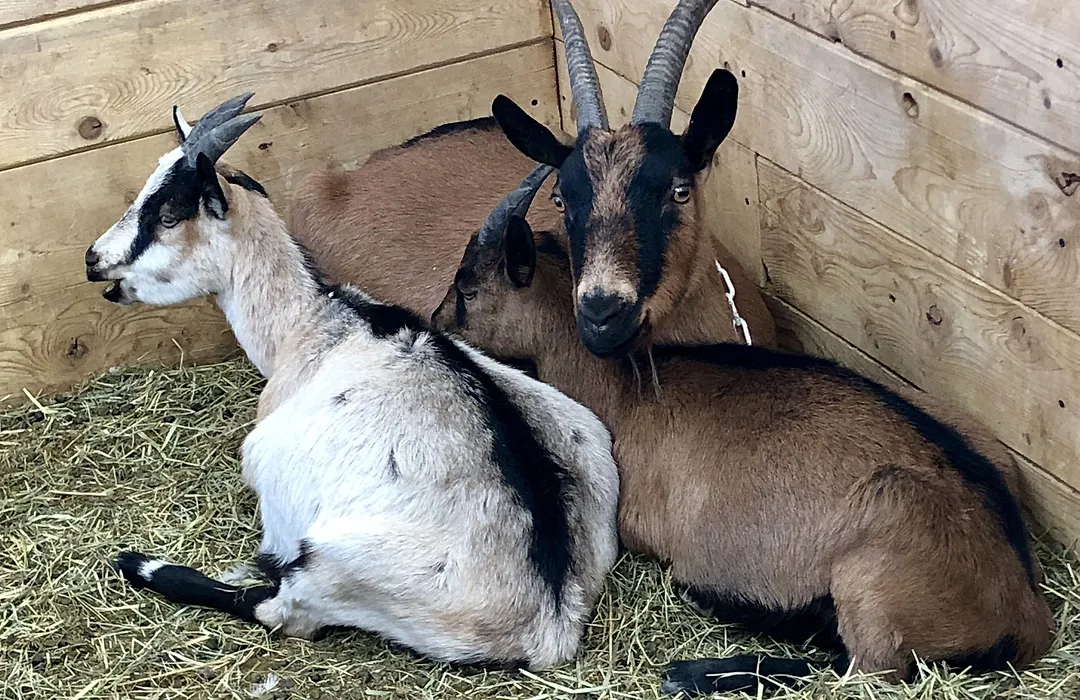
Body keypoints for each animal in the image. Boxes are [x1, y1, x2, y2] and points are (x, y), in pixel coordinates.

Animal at [84, 95, 621, 670]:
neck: (309, 322)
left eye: (166, 215)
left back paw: (140, 564)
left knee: (281, 611)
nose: (93, 259)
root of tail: (550, 619)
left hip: (329, 564)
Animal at [430, 168, 1055, 695]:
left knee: (864, 670)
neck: (628, 390)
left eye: (466, 286)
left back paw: (694, 670)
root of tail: (1027, 610)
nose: (432, 322)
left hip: (876, 568)